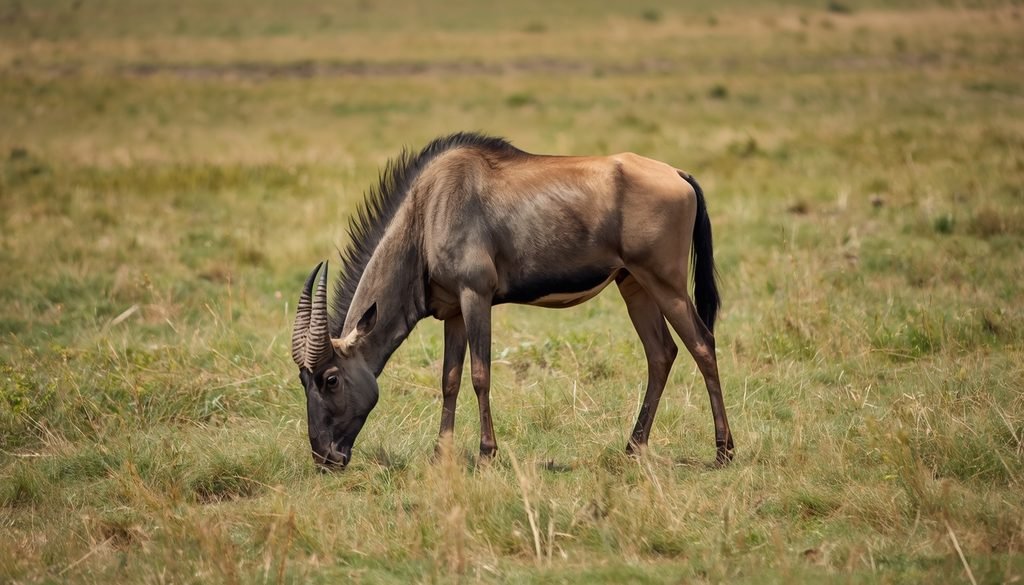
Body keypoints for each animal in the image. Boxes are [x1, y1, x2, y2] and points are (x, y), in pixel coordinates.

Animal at [290, 132, 733, 468]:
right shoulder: (453, 312)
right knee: (661, 354)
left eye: (330, 379)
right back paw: (632, 447)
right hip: (634, 285)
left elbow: (479, 375)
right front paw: (440, 454)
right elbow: (449, 379)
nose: (325, 457)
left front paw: (487, 453)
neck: (428, 209)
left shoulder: (476, 296)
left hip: (665, 283)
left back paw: (724, 451)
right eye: (303, 381)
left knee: (702, 345)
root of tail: (678, 175)